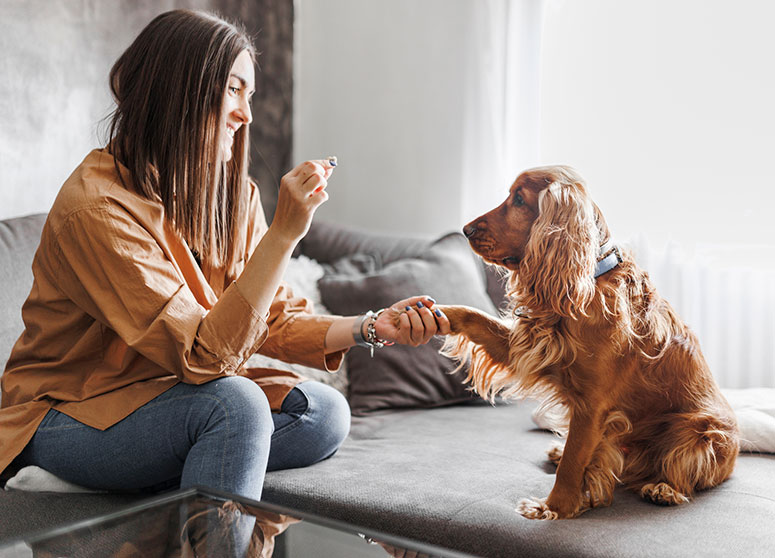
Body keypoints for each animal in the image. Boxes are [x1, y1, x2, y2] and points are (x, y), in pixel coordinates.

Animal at [440, 165, 744, 520]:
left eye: (519, 200)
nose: (466, 229)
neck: (589, 279)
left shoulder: (593, 405)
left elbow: (573, 462)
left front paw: (553, 507)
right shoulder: (533, 350)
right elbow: (473, 316)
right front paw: (434, 313)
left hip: (698, 432)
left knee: (683, 469)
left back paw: (664, 489)